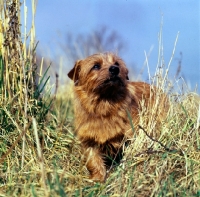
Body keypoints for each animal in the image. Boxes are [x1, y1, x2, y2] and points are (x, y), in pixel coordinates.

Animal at [68, 52, 166, 182]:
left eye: (116, 63)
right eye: (96, 66)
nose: (114, 69)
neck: (105, 105)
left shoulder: (130, 136)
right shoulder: (89, 141)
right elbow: (94, 160)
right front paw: (98, 179)